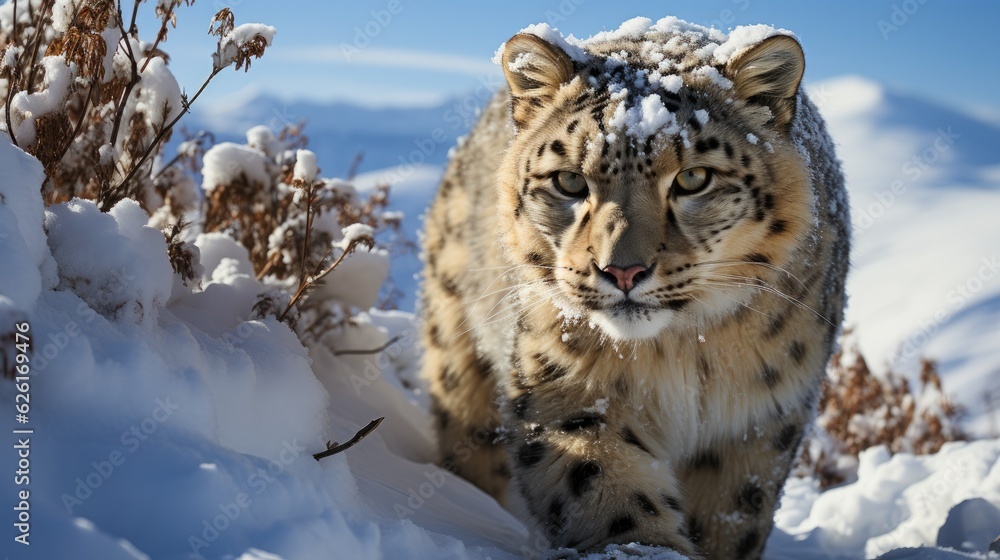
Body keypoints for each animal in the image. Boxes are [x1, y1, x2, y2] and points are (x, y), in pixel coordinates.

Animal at [419, 17, 849, 560]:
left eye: (694, 177)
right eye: (568, 181)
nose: (622, 271)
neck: (685, 355)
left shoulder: (757, 422)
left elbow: (731, 516)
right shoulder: (567, 392)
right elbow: (605, 487)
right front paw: (645, 545)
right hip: (456, 352)